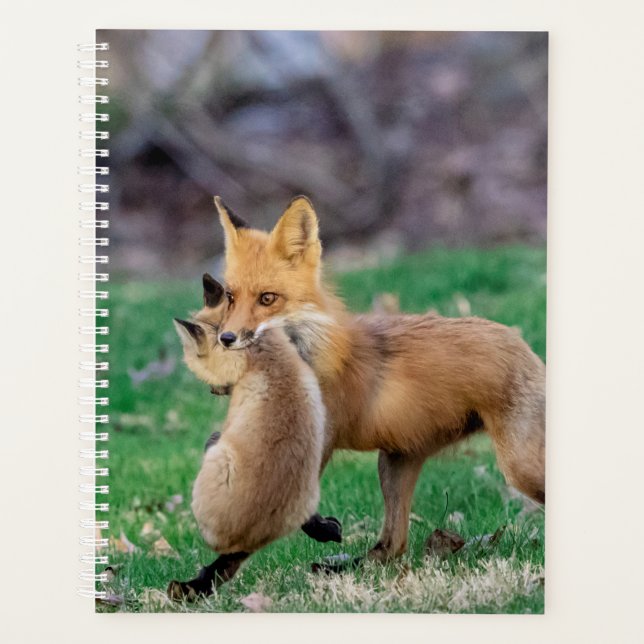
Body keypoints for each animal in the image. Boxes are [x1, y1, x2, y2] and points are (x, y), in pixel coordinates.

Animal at [168, 276, 338, 600]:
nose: (213, 391)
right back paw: (328, 529)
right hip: (309, 490)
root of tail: (252, 538)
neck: (258, 355)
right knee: (310, 521)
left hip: (214, 457)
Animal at [209, 194, 546, 566]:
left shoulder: (318, 443)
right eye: (230, 297)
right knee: (391, 547)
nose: (226, 338)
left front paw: (323, 529)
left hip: (519, 468)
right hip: (395, 463)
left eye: (267, 298)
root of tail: (519, 340)